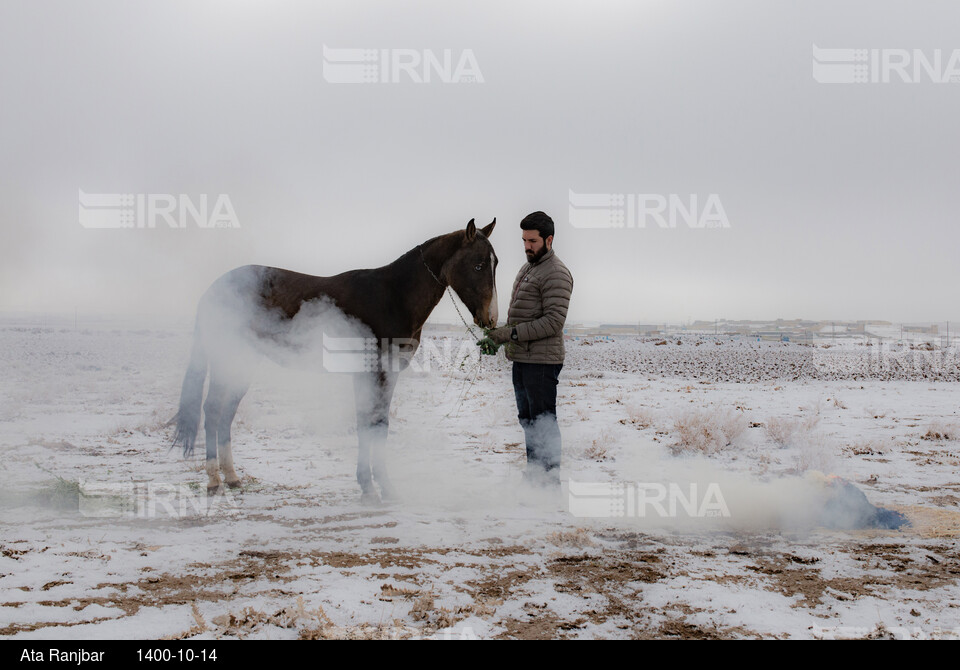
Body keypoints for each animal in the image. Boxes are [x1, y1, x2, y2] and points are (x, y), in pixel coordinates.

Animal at [172, 220, 498, 504]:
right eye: (478, 265)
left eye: (495, 263)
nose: (491, 319)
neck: (393, 297)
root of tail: (214, 290)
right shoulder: (368, 374)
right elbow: (367, 426)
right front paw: (369, 489)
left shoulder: (388, 375)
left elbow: (380, 425)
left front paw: (385, 488)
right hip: (227, 362)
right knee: (213, 411)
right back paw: (214, 482)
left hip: (243, 365)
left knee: (226, 413)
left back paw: (232, 478)